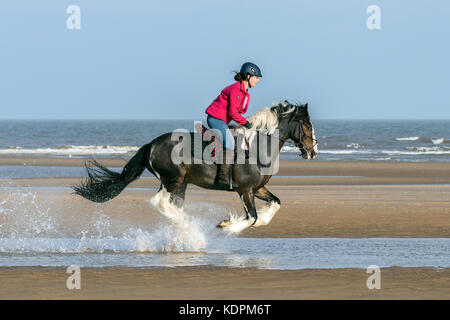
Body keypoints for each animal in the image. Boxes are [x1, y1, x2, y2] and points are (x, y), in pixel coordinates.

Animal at [73, 101, 316, 234]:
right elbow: (252, 217)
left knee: (170, 205)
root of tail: (151, 144)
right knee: (159, 202)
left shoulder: (257, 189)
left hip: (180, 184)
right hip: (173, 179)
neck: (257, 147)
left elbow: (274, 205)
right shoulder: (245, 190)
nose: (312, 152)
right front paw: (227, 225)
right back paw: (190, 225)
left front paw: (238, 222)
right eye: (305, 124)